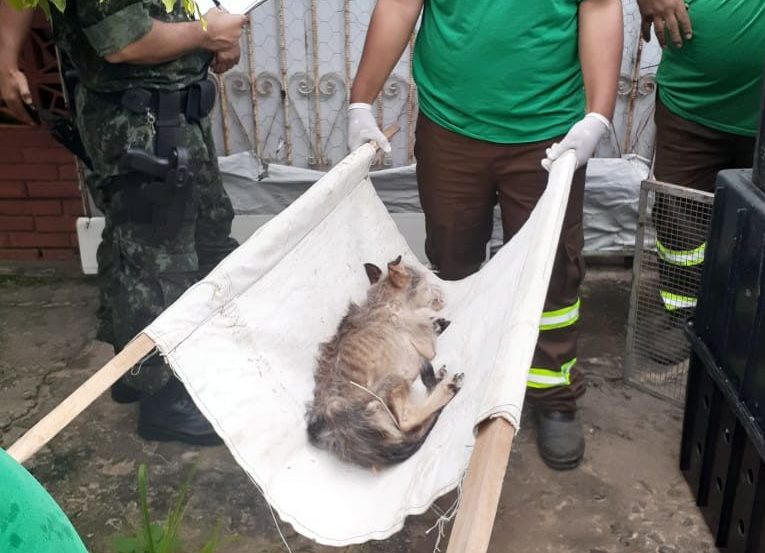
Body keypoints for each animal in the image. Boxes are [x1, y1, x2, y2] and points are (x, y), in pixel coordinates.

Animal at [306, 254, 462, 466]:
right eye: (425, 286)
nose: (441, 293)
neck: (384, 300)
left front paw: (437, 323)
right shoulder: (427, 346)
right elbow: (427, 327)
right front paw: (435, 322)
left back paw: (436, 379)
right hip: (393, 382)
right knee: (406, 421)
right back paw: (446, 388)